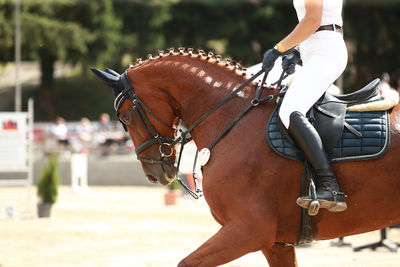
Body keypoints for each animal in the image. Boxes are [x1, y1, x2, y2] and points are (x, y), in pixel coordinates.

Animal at [92, 49, 400, 266]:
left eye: (126, 117)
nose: (154, 174)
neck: (232, 116)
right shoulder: (274, 243)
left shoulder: (248, 230)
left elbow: (186, 263)